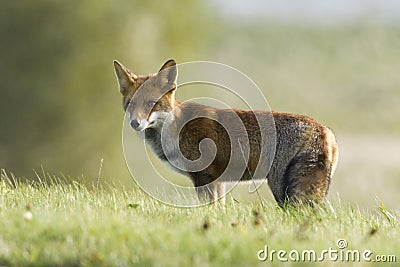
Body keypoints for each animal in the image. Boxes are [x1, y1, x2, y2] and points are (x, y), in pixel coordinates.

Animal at [114, 59, 340, 206]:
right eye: (131, 104)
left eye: (152, 104)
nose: (135, 123)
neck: (175, 128)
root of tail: (323, 129)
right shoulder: (218, 181)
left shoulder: (204, 177)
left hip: (281, 188)